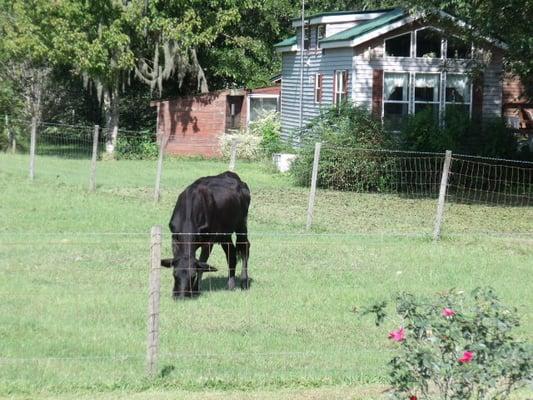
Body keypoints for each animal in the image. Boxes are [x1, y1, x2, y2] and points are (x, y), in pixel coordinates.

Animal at [161, 170, 250, 298]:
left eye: (193, 276)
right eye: (175, 273)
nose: (181, 295)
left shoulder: (208, 242)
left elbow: (202, 265)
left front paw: (196, 289)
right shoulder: (175, 239)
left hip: (242, 225)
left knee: (244, 248)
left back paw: (244, 282)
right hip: (224, 233)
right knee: (231, 254)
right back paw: (230, 285)